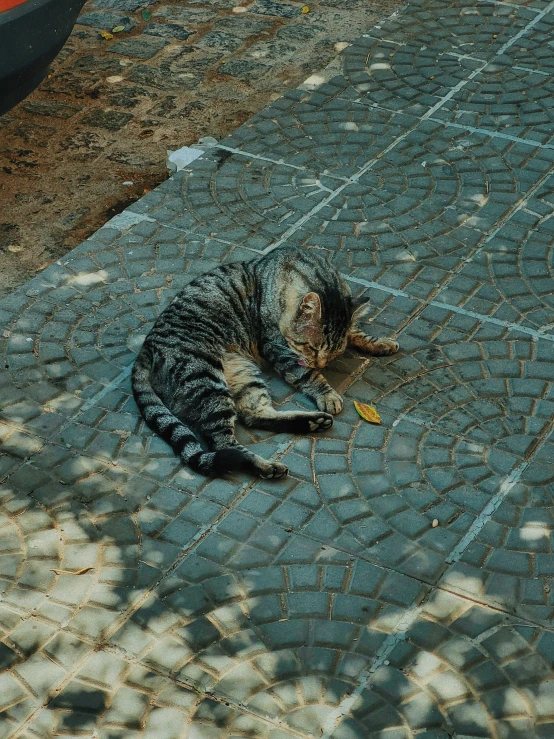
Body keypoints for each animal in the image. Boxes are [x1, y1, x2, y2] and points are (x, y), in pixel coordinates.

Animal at [130, 247, 396, 480]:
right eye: (311, 348)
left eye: (333, 354)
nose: (320, 364)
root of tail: (146, 347)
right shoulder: (277, 347)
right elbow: (306, 375)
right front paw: (326, 392)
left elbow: (357, 332)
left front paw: (380, 342)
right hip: (206, 380)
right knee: (223, 444)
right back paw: (266, 465)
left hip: (244, 374)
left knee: (253, 414)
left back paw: (311, 422)